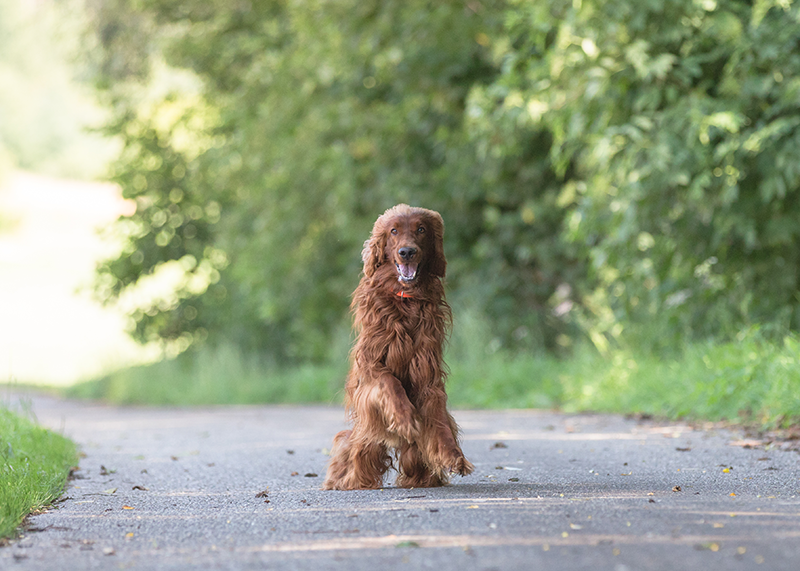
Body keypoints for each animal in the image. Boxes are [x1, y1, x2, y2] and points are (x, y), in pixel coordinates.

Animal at [322, 203, 472, 490]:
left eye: (421, 230)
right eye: (393, 231)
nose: (407, 251)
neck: (406, 300)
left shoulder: (428, 373)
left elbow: (438, 416)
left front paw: (452, 454)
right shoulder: (370, 366)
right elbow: (390, 383)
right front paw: (405, 420)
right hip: (364, 435)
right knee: (356, 451)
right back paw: (344, 479)